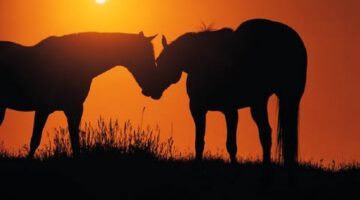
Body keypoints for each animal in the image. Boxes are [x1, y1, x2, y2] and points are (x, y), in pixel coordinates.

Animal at [0, 31, 158, 158]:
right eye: (145, 57)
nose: (153, 89)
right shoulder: (43, 109)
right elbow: (35, 140)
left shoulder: (75, 108)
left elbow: (75, 141)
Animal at [148, 19, 308, 166]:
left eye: (161, 61)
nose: (152, 88)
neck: (203, 63)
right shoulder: (198, 108)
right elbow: (199, 142)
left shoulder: (230, 110)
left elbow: (231, 145)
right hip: (260, 103)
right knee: (266, 134)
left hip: (284, 99)